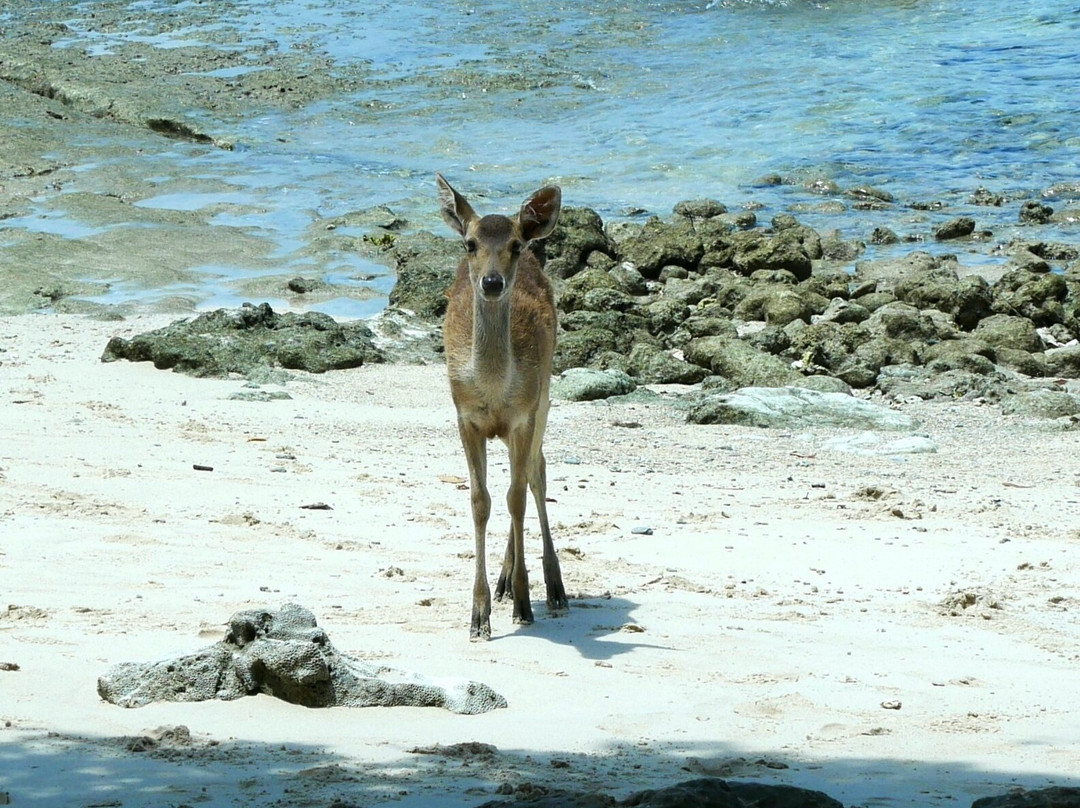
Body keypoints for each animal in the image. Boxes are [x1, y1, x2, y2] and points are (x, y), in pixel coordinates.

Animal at [438, 173, 574, 639]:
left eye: (514, 244)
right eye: (470, 243)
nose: (493, 282)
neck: (495, 391)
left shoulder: (524, 414)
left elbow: (516, 496)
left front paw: (524, 603)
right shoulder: (464, 416)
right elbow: (480, 501)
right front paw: (478, 616)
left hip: (546, 395)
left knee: (537, 473)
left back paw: (552, 588)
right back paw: (502, 584)